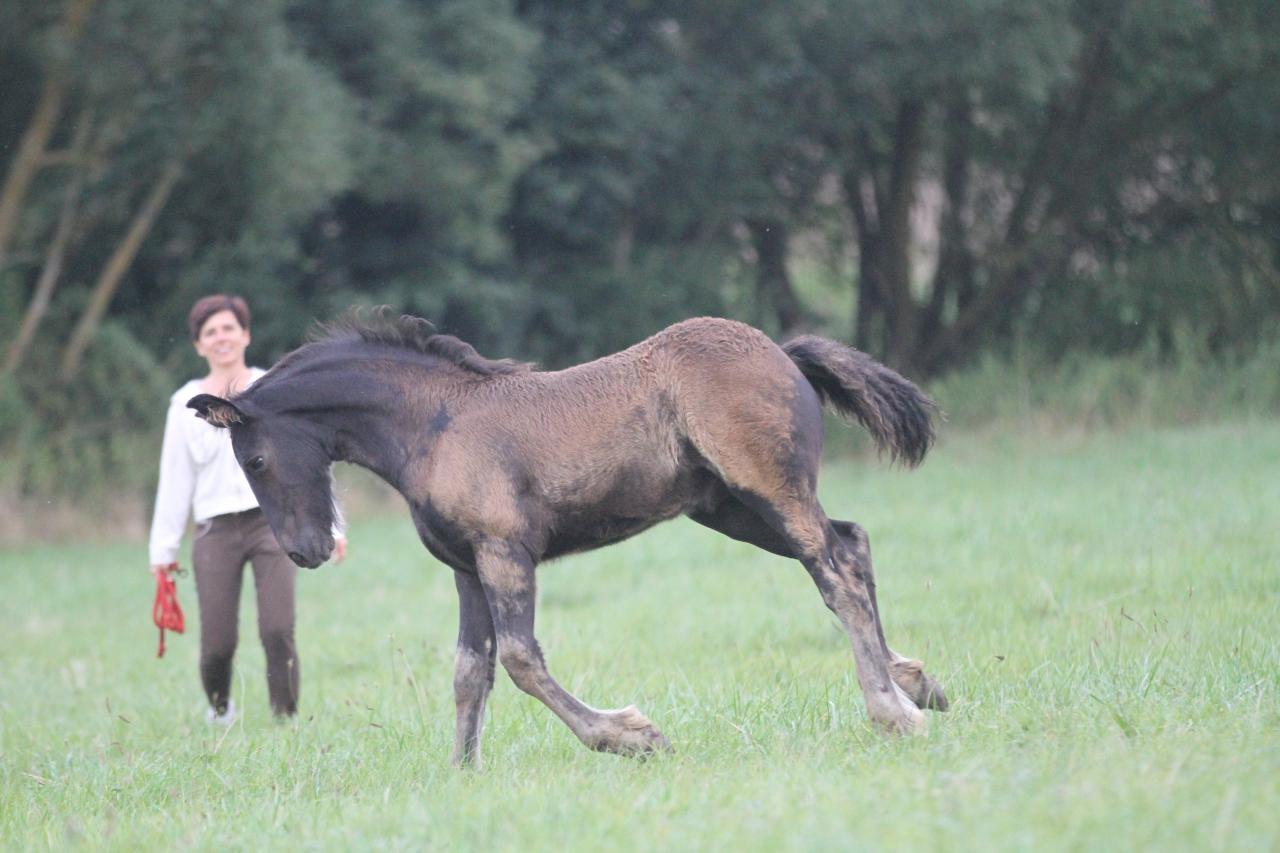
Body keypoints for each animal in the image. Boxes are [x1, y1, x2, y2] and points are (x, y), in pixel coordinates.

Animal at [192, 313, 952, 763]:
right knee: (851, 543)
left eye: (253, 460)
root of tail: (782, 351)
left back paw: (892, 712)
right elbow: (469, 670)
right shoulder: (466, 566)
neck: (434, 424)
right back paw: (916, 683)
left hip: (767, 489)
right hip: (731, 509)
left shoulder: (505, 551)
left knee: (835, 570)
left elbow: (521, 660)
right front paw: (461, 773)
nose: (306, 550)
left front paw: (630, 734)